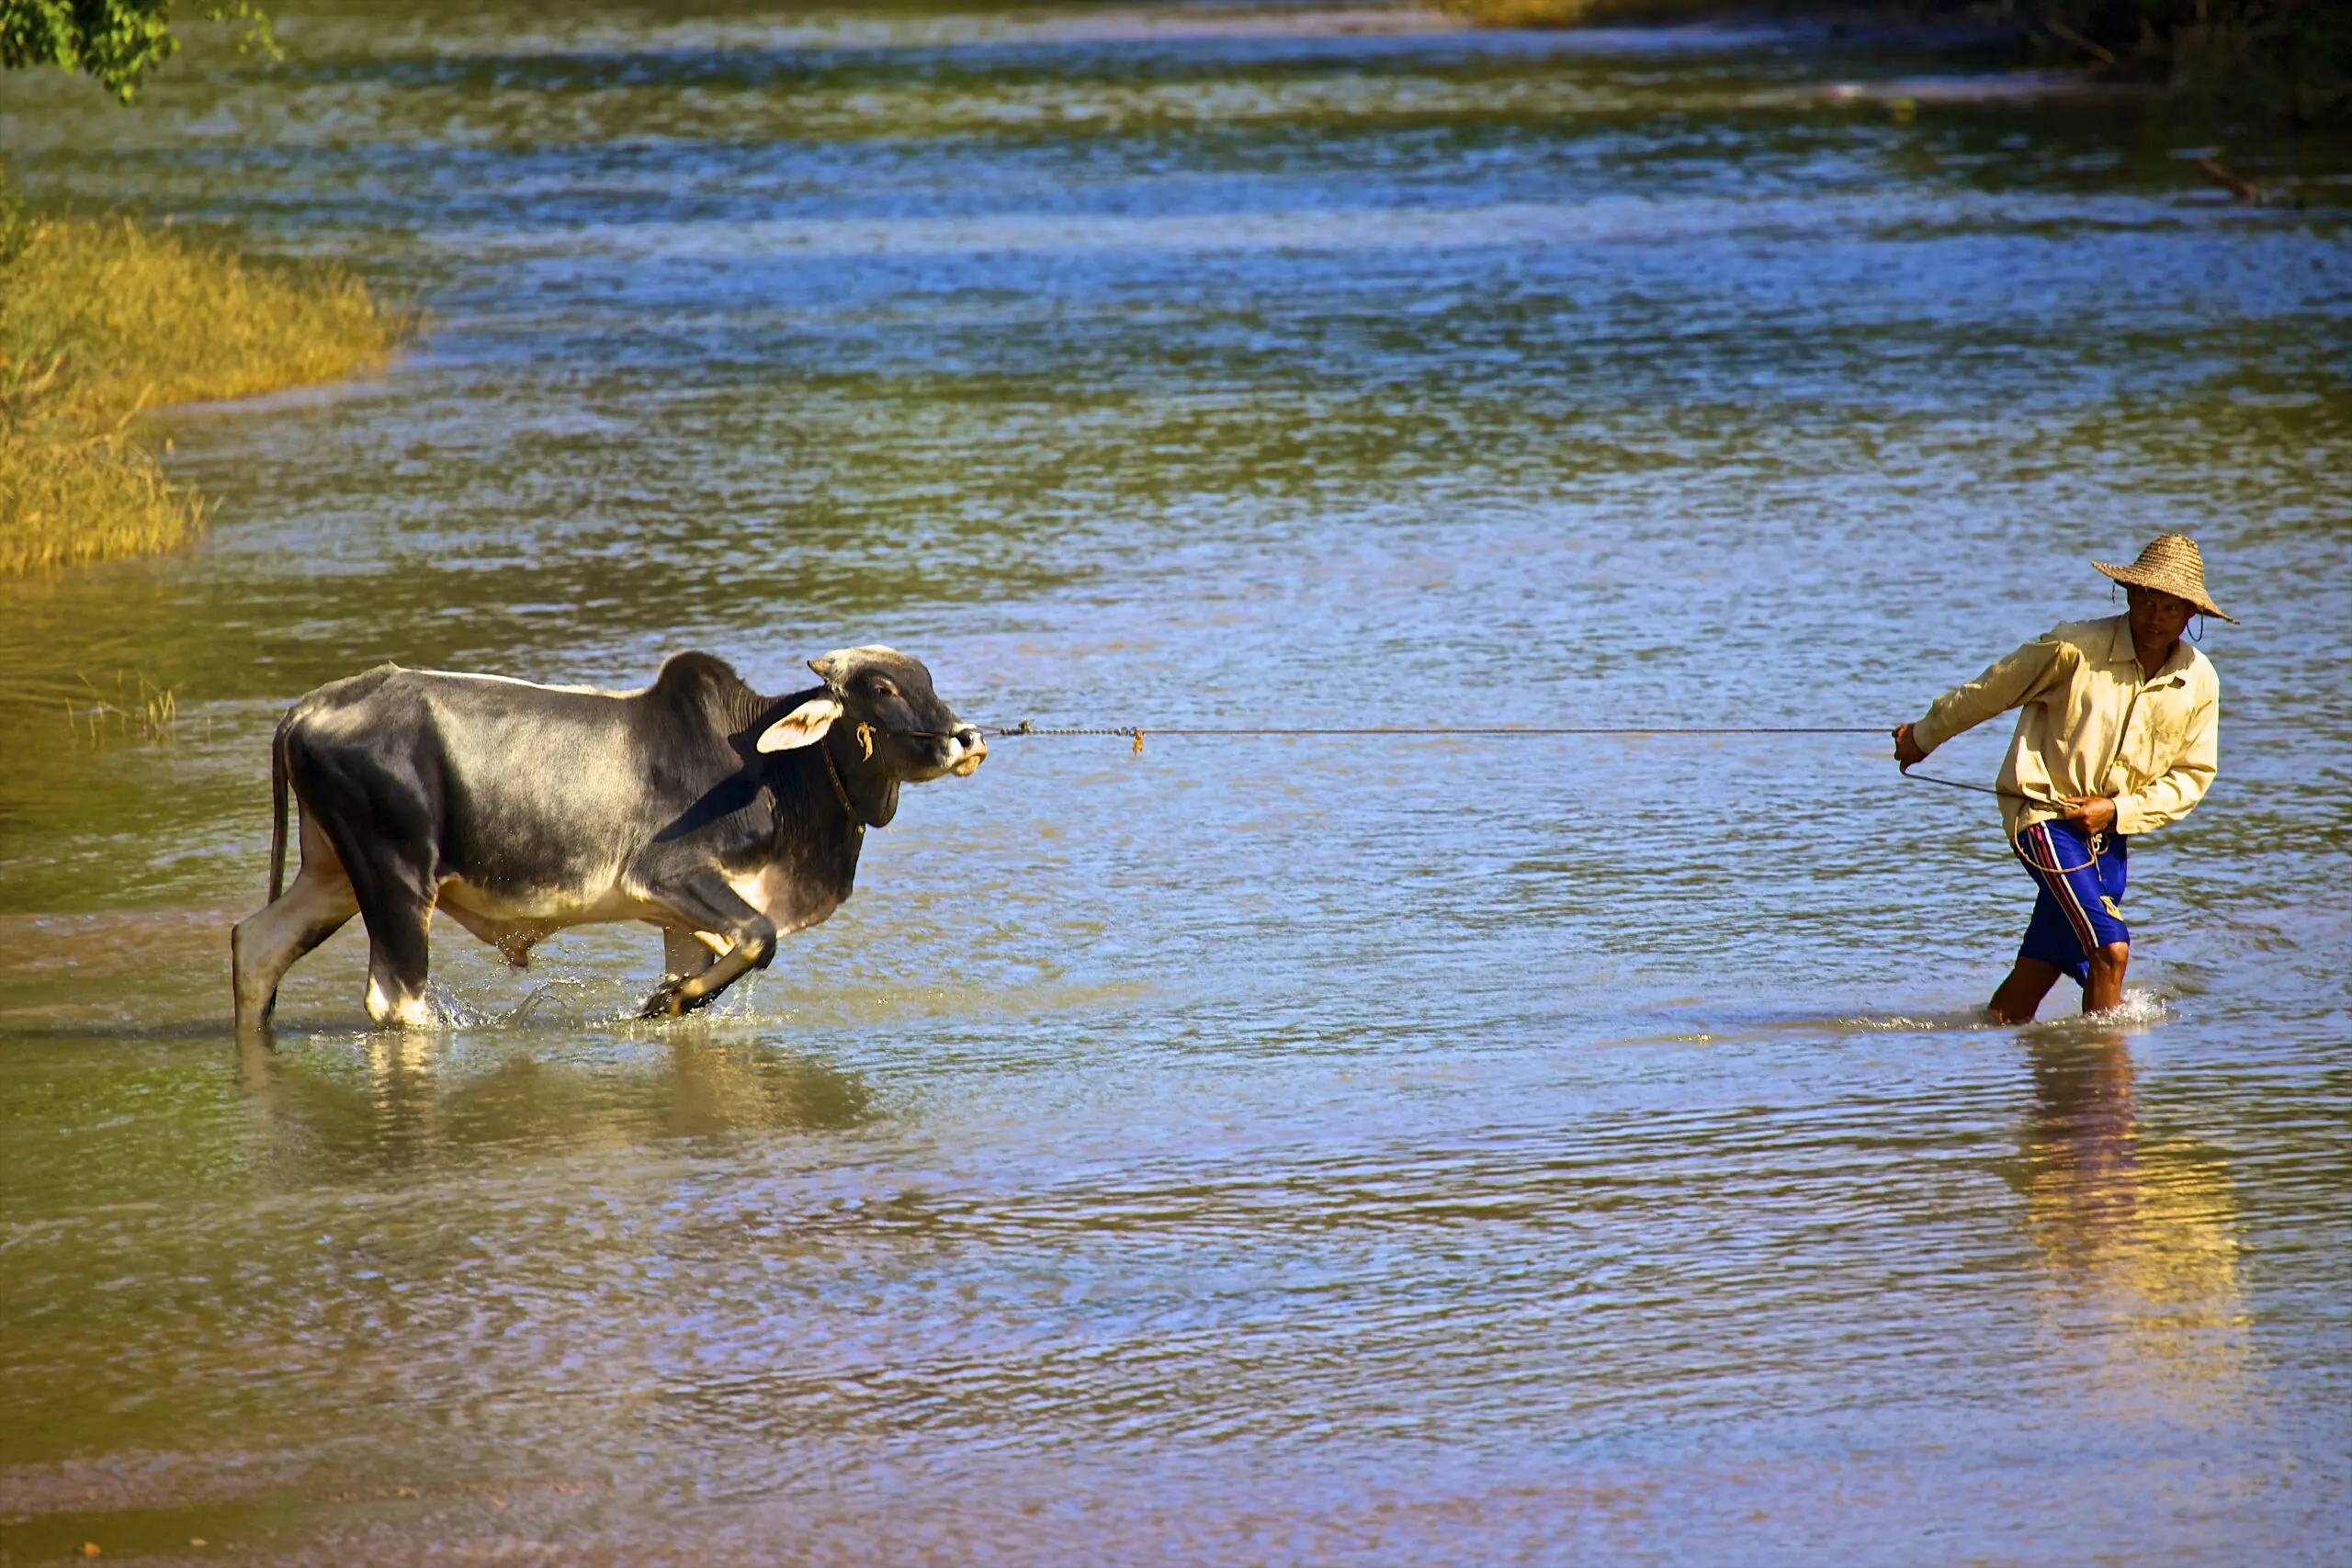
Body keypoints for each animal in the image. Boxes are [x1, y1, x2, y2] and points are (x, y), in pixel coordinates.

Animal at [229, 649, 983, 1029]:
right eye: (882, 688)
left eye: (928, 682)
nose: (966, 737)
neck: (771, 768)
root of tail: (309, 707)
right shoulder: (671, 875)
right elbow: (760, 938)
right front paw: (659, 1003)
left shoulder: (682, 919)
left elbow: (708, 971)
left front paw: (669, 1001)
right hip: (395, 876)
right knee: (396, 999)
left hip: (333, 872)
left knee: (257, 944)